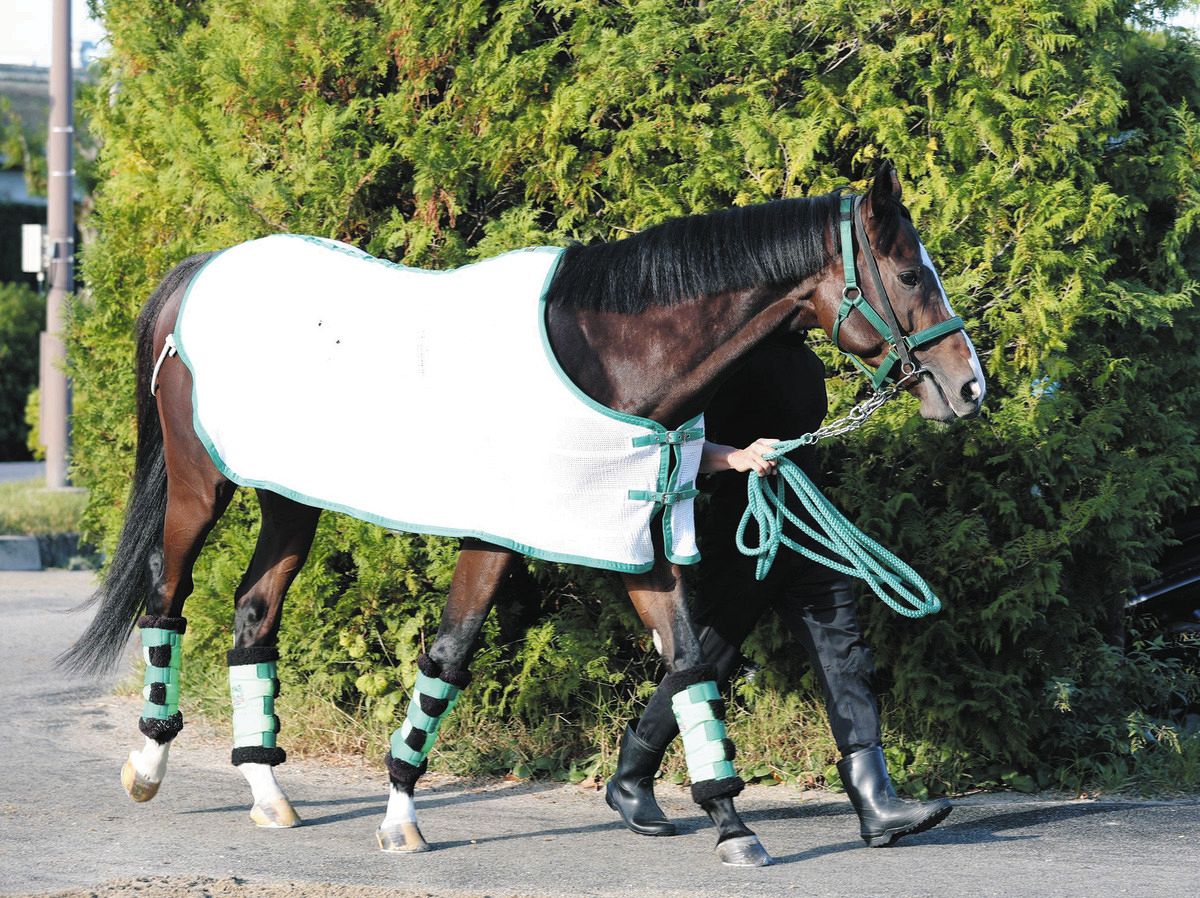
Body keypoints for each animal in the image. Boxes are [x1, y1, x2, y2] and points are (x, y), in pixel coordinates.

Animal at [60, 162, 985, 868]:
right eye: (911, 274)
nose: (970, 385)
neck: (604, 358)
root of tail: (200, 272)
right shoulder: (495, 536)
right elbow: (449, 655)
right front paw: (399, 817)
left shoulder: (635, 537)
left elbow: (689, 664)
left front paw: (730, 824)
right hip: (198, 487)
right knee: (166, 594)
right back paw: (148, 763)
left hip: (292, 500)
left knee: (254, 613)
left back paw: (266, 790)